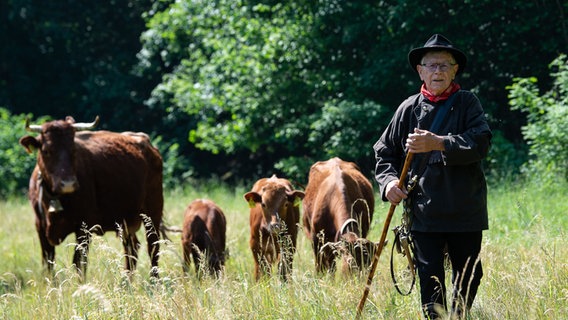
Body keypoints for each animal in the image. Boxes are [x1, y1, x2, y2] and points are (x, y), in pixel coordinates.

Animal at [20, 116, 162, 278]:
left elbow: (79, 263)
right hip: (127, 222)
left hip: (153, 212)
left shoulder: (84, 227)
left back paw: (153, 281)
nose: (68, 183)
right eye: (46, 151)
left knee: (153, 248)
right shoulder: (40, 227)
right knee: (132, 249)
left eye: (73, 149)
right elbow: (48, 263)